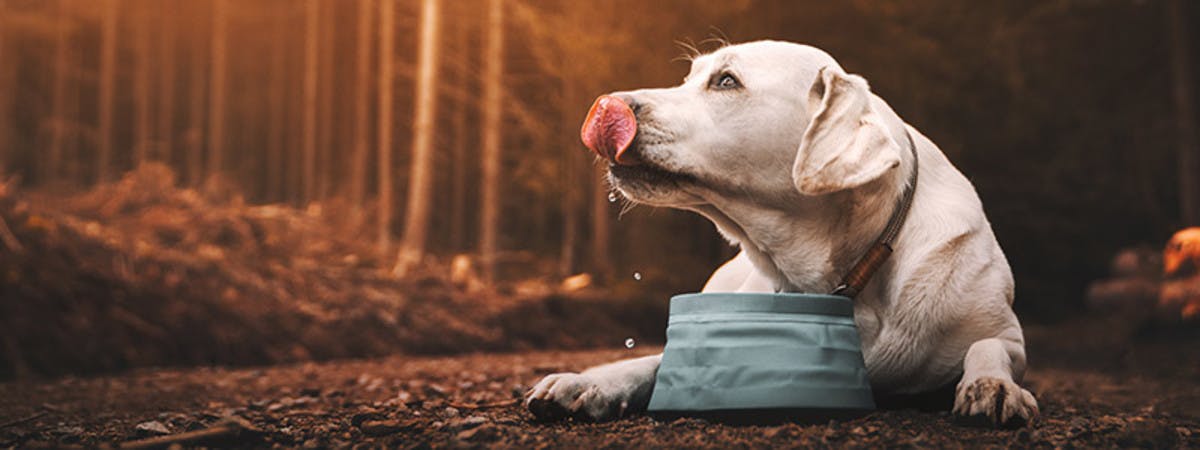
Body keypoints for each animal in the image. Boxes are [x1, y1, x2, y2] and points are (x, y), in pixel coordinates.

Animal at [528, 42, 1041, 429]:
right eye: (689, 78)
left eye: (726, 81)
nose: (605, 104)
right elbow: (657, 362)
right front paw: (592, 382)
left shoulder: (1005, 331)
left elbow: (988, 346)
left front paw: (993, 387)